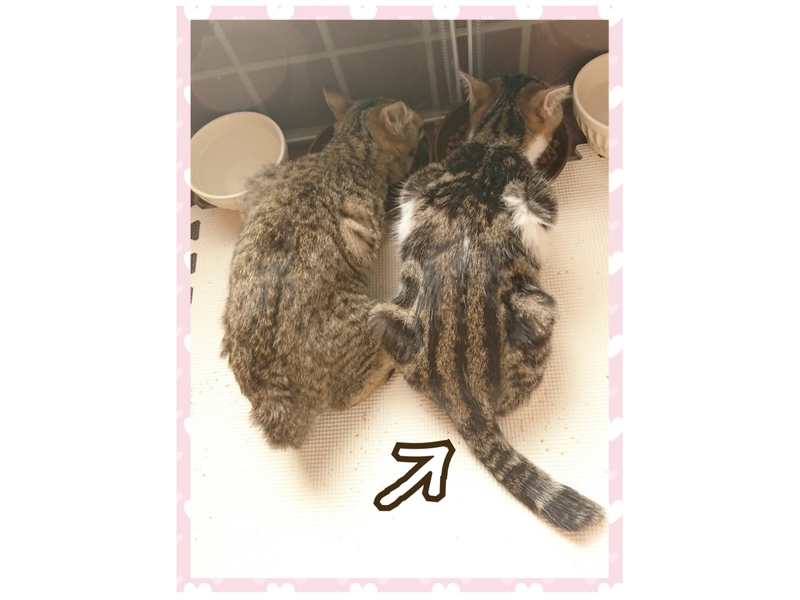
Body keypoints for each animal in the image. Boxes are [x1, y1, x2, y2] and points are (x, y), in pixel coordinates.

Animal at [221, 89, 425, 449]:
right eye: (415, 123)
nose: (425, 122)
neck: (344, 154)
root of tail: (270, 396)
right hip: (369, 319)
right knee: (344, 397)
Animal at [370, 72, 605, 532]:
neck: (496, 141)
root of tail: (460, 393)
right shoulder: (538, 202)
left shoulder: (414, 187)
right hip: (541, 308)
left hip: (385, 315)